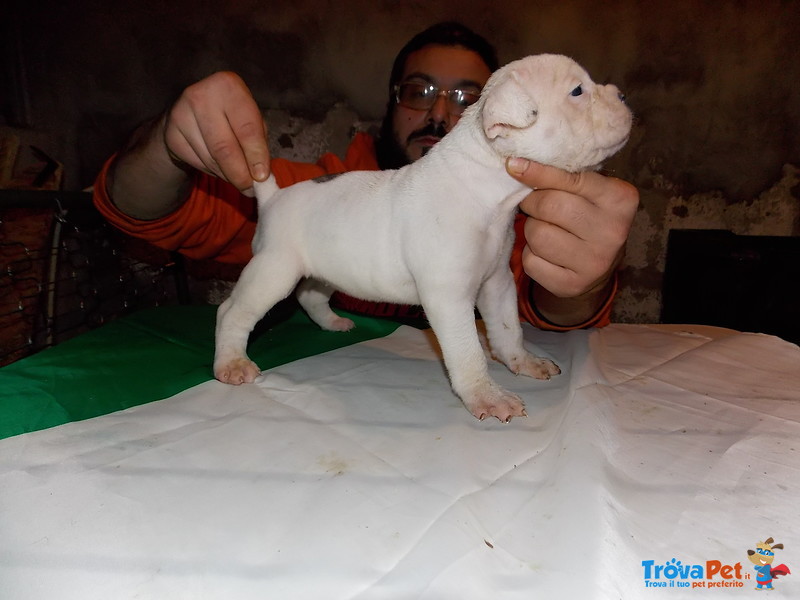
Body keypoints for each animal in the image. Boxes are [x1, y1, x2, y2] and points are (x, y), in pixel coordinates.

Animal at [212, 55, 632, 422]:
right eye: (577, 91)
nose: (623, 95)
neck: (487, 185)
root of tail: (273, 197)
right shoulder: (449, 296)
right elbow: (468, 350)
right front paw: (487, 396)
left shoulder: (497, 283)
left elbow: (508, 328)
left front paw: (522, 362)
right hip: (274, 269)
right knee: (233, 311)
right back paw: (231, 362)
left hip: (324, 267)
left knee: (310, 294)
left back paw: (332, 323)